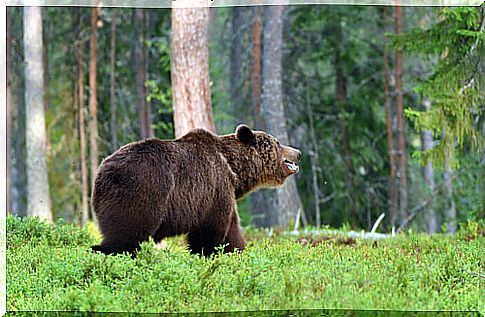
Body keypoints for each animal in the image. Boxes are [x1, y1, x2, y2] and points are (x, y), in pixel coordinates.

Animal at [91, 124, 298, 256]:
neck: (234, 170)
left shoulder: (224, 194)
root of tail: (104, 170)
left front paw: (237, 251)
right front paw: (206, 254)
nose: (298, 152)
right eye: (277, 143)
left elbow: (232, 233)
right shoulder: (214, 189)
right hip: (143, 191)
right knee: (126, 237)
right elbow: (208, 233)